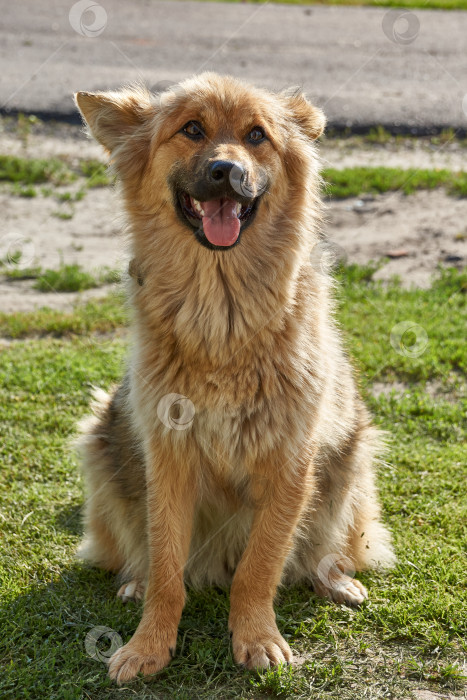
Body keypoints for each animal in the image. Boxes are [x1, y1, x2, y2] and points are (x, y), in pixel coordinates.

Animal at [74, 72, 394, 684]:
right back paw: (133, 581)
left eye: (256, 135)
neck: (222, 313)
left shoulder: (290, 460)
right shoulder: (169, 458)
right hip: (102, 437)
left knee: (328, 544)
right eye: (192, 129)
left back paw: (335, 578)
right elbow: (166, 564)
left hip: (352, 454)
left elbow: (261, 564)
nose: (227, 171)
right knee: (134, 547)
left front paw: (256, 636)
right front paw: (149, 643)